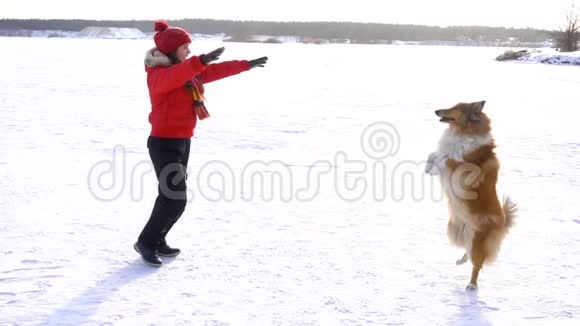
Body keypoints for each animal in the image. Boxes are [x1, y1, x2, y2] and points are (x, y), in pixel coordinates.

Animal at [424, 101, 520, 290]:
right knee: (469, 252)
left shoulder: (460, 168)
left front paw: (435, 165)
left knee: (477, 263)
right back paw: (461, 261)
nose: (436, 111)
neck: (464, 132)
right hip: (455, 232)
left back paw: (472, 285)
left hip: (477, 240)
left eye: (456, 108)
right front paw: (428, 168)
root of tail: (504, 222)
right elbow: (433, 155)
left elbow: (447, 159)